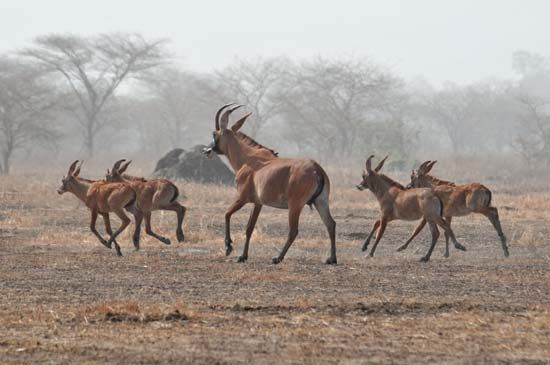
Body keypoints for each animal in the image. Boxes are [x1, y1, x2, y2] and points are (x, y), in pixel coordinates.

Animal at [205, 102, 338, 264]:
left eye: (214, 134)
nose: (207, 151)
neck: (247, 158)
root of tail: (316, 169)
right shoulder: (258, 203)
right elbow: (249, 227)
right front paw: (243, 256)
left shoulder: (242, 198)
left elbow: (227, 214)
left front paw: (228, 247)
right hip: (321, 202)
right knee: (330, 224)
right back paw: (331, 258)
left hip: (295, 205)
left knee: (293, 231)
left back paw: (278, 258)